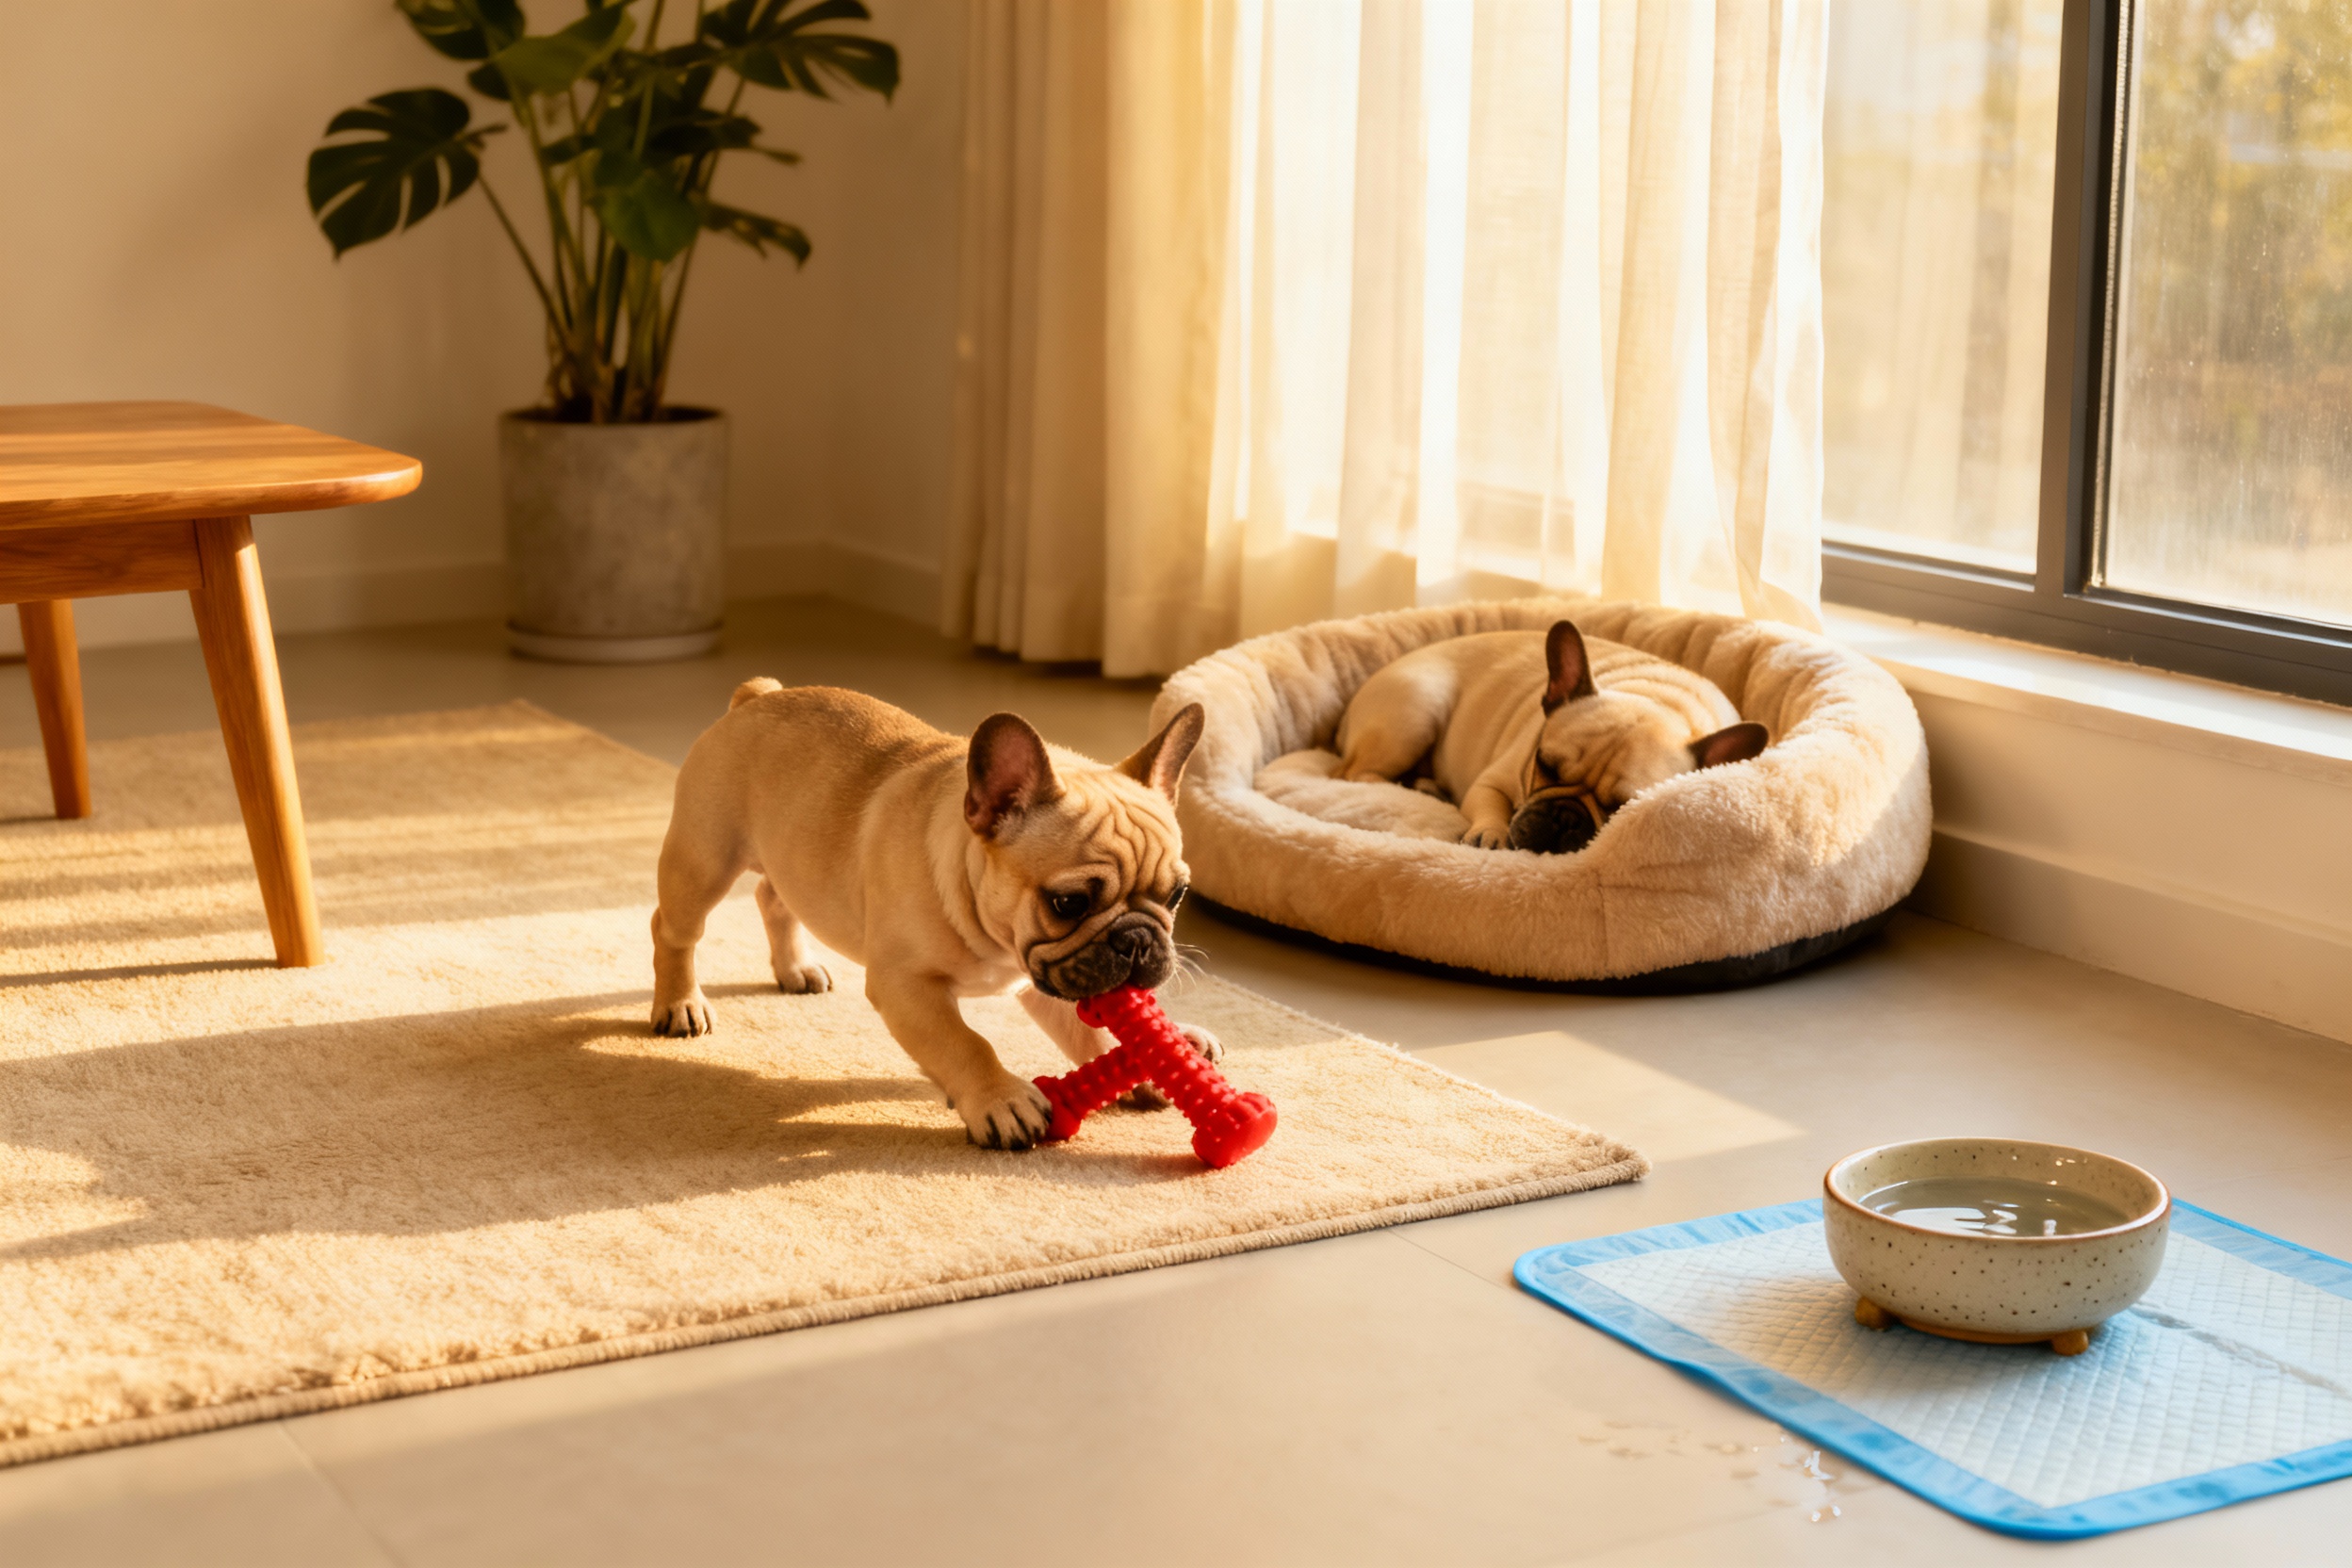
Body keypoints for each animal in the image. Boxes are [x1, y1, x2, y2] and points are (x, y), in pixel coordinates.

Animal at [650, 680, 1216, 1150]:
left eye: (1177, 895)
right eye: (1068, 903)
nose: (1138, 940)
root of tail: (758, 695)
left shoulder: (1048, 976)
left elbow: (1088, 1033)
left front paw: (1149, 1066)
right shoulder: (907, 986)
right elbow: (965, 1043)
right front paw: (1000, 1099)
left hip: (786, 863)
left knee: (774, 898)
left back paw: (795, 969)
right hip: (704, 861)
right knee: (673, 931)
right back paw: (680, 1004)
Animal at [1334, 621, 1768, 853]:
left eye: (1621, 807)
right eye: (1544, 765)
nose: (1565, 817)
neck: (1659, 698)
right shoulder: (1493, 780)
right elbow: (1490, 806)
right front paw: (1490, 834)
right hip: (1416, 713)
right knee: (1355, 774)